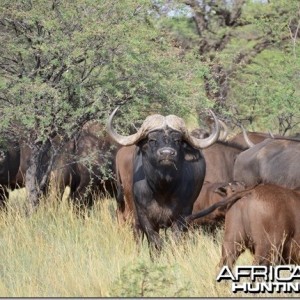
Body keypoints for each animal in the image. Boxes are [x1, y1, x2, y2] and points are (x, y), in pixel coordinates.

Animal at [108, 106, 220, 252]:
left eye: (177, 140)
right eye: (152, 140)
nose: (167, 154)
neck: (162, 189)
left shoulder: (183, 215)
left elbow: (176, 240)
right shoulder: (145, 216)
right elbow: (155, 242)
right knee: (134, 228)